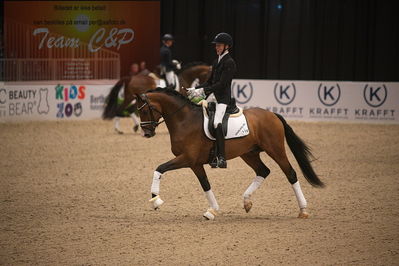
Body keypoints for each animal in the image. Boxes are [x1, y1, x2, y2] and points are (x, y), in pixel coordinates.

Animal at [135, 87, 324, 220]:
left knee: (290, 173)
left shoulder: (187, 158)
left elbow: (159, 168)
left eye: (144, 110)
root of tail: (272, 114)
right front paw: (212, 211)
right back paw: (247, 202)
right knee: (263, 171)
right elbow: (205, 184)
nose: (147, 133)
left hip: (275, 149)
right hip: (249, 154)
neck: (184, 120)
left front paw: (156, 200)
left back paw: (303, 210)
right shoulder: (195, 163)